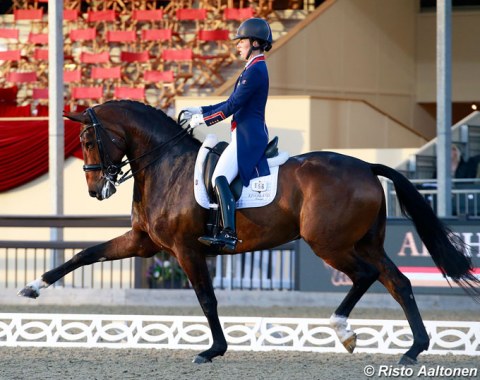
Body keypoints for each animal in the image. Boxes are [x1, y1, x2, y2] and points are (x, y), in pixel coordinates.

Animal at [16, 99, 478, 364]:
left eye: (87, 141)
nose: (97, 190)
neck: (166, 165)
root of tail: (366, 165)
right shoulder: (144, 244)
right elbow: (83, 254)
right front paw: (34, 287)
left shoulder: (185, 248)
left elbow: (206, 298)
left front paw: (213, 350)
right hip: (364, 242)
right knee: (398, 282)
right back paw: (413, 349)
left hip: (328, 243)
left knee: (366, 276)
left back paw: (345, 329)